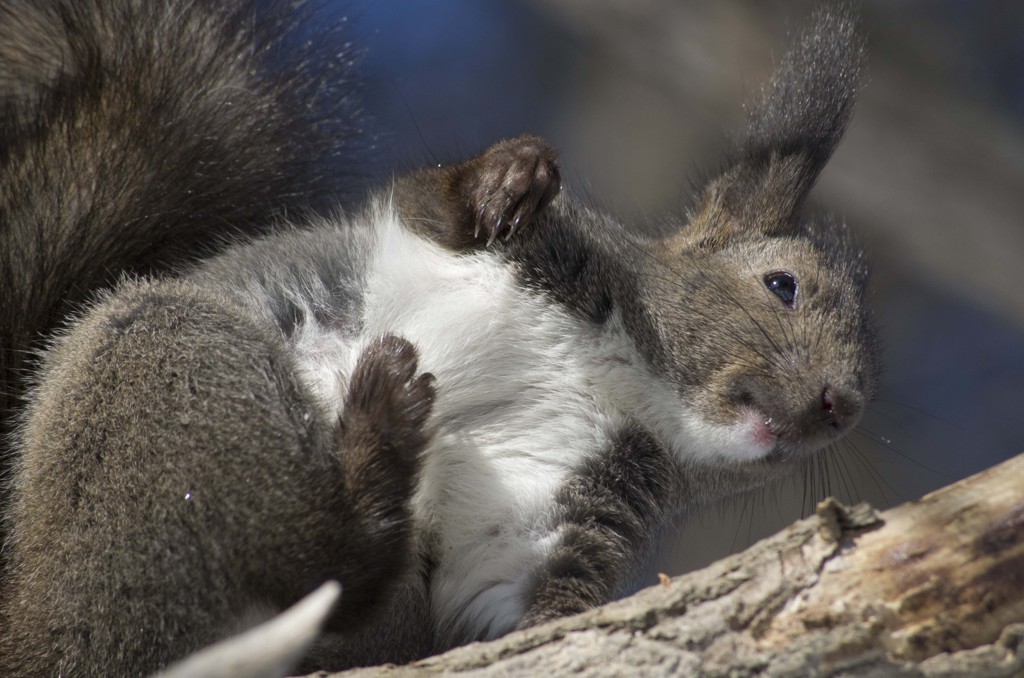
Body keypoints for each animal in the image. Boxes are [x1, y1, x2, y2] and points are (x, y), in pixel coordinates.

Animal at [0, 0, 880, 675]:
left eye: (862, 395)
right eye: (782, 285)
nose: (840, 404)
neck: (622, 375)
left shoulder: (554, 512)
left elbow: (514, 608)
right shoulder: (478, 247)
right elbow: (437, 201)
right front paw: (510, 177)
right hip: (160, 359)